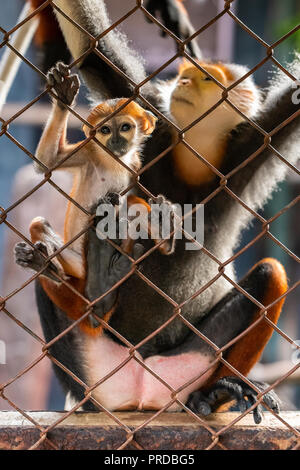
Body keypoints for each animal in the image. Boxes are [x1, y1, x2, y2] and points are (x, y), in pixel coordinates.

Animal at [27, 0, 298, 418]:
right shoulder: (156, 128)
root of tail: (143, 386)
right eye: (184, 76)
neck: (196, 156)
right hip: (91, 368)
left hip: (193, 359)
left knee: (271, 272)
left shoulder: (253, 146)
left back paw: (217, 393)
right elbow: (91, 46)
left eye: (204, 78)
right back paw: (94, 290)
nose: (182, 83)